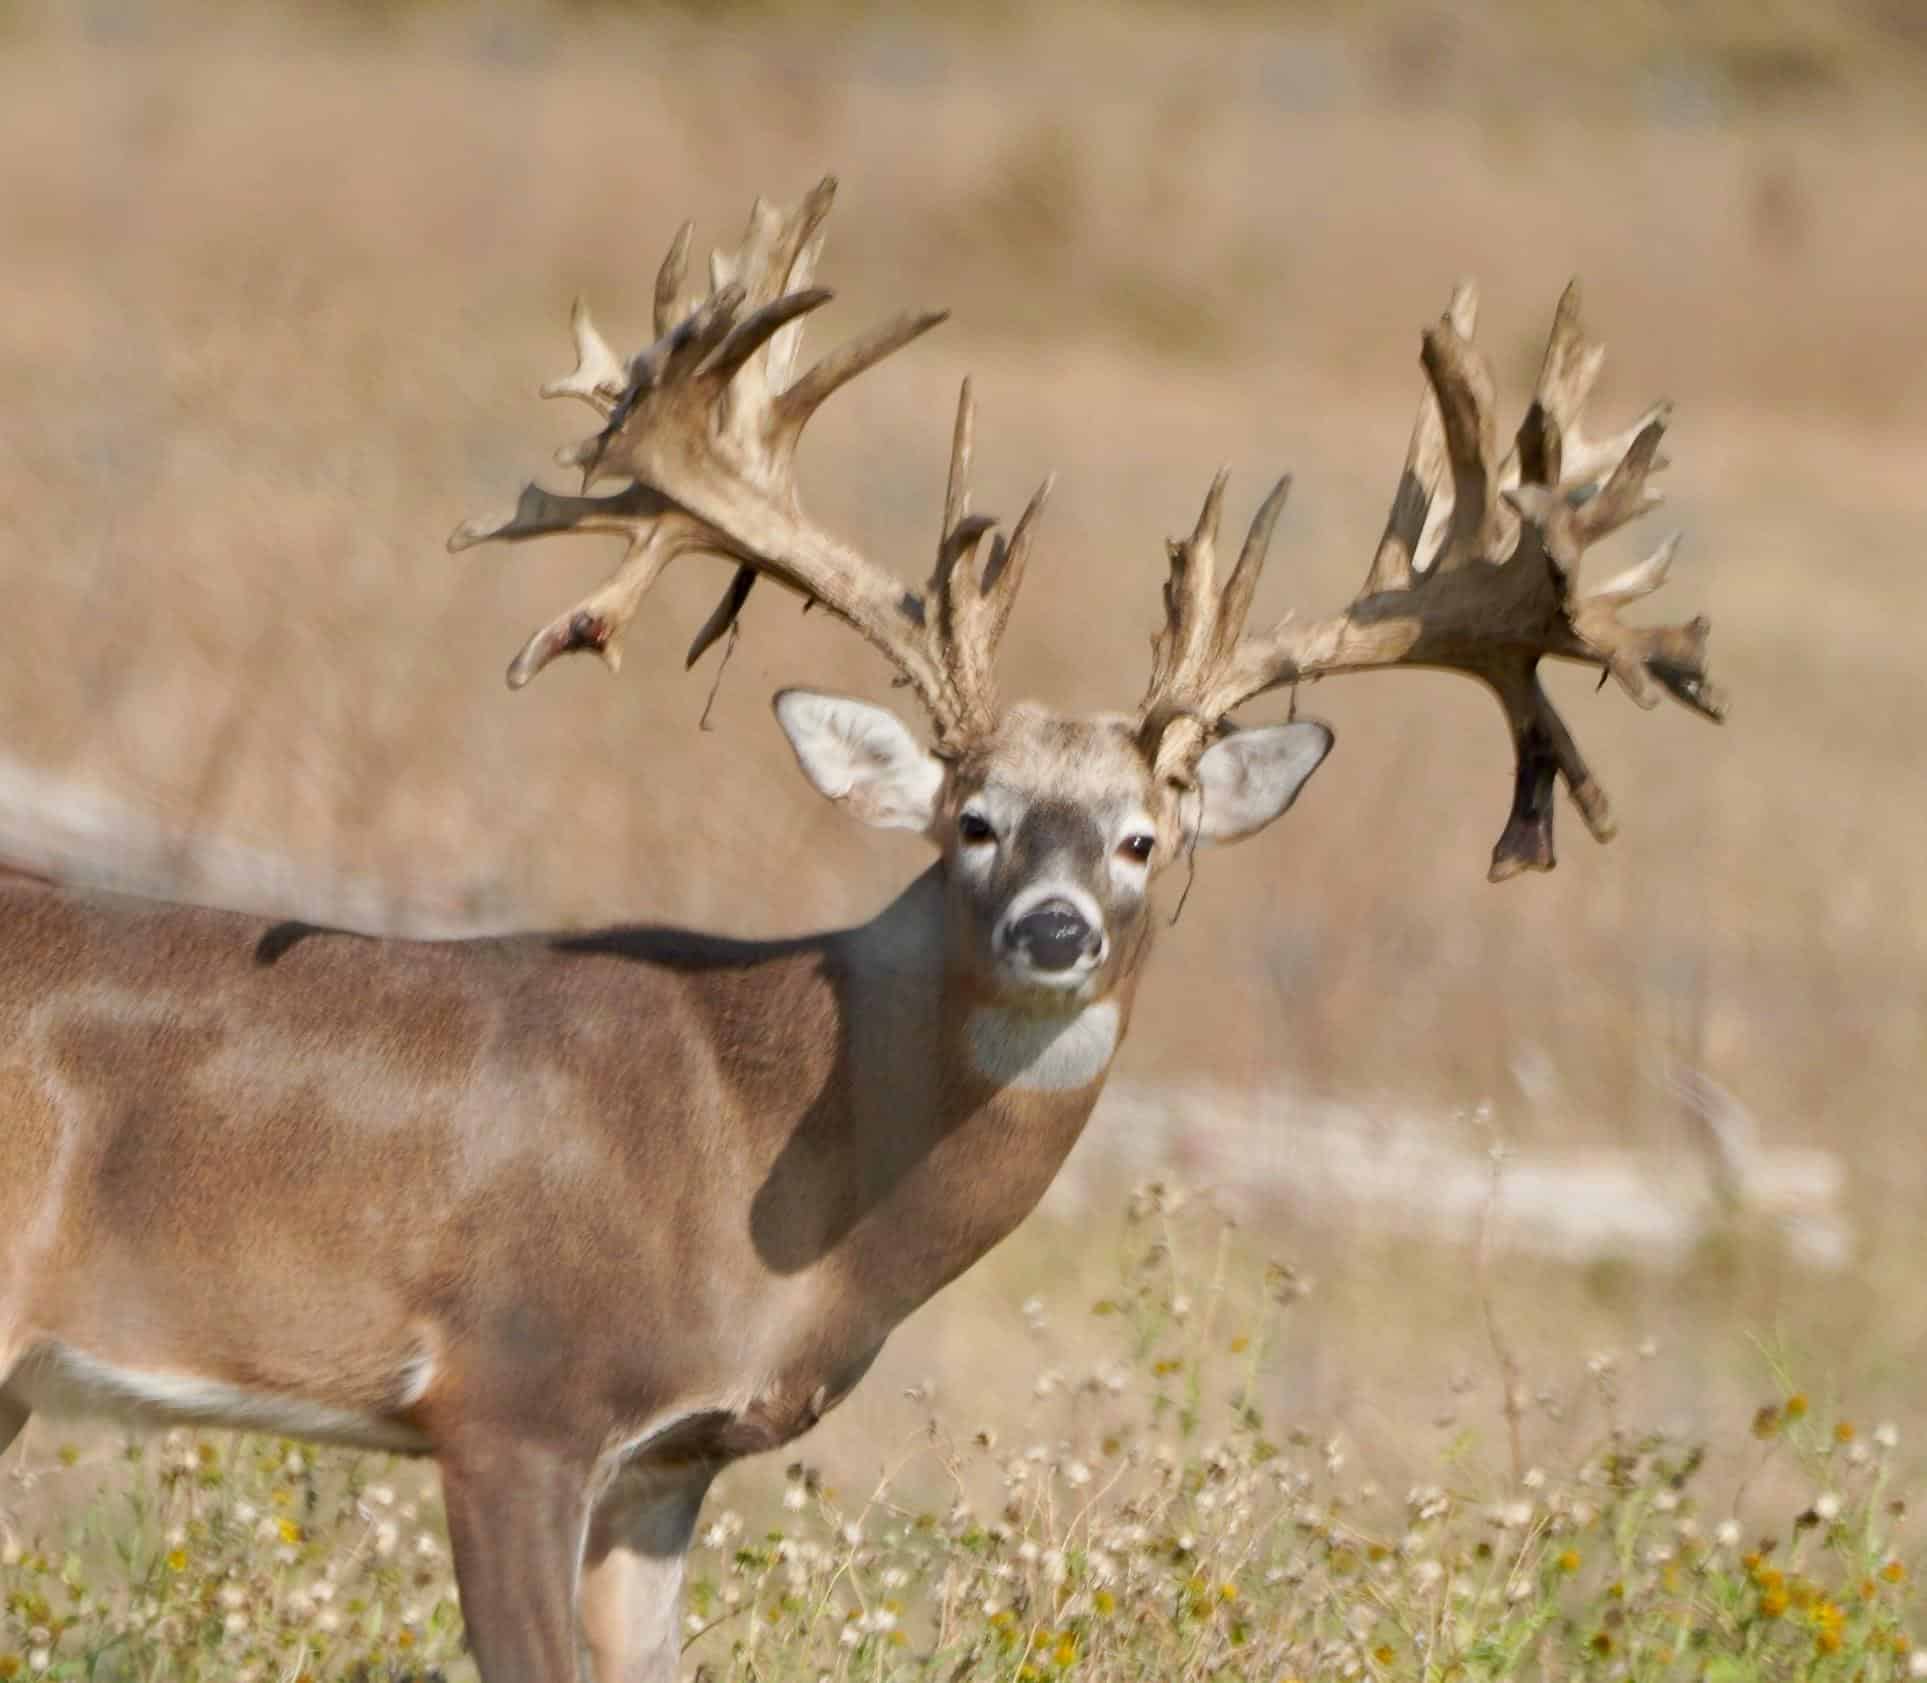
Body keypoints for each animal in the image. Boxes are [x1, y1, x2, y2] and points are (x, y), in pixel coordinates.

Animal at [0, 178, 1721, 1682]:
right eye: (970, 819)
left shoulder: (666, 1458)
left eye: (1144, 837)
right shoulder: (513, 1390)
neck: (762, 1141)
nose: (1051, 928)